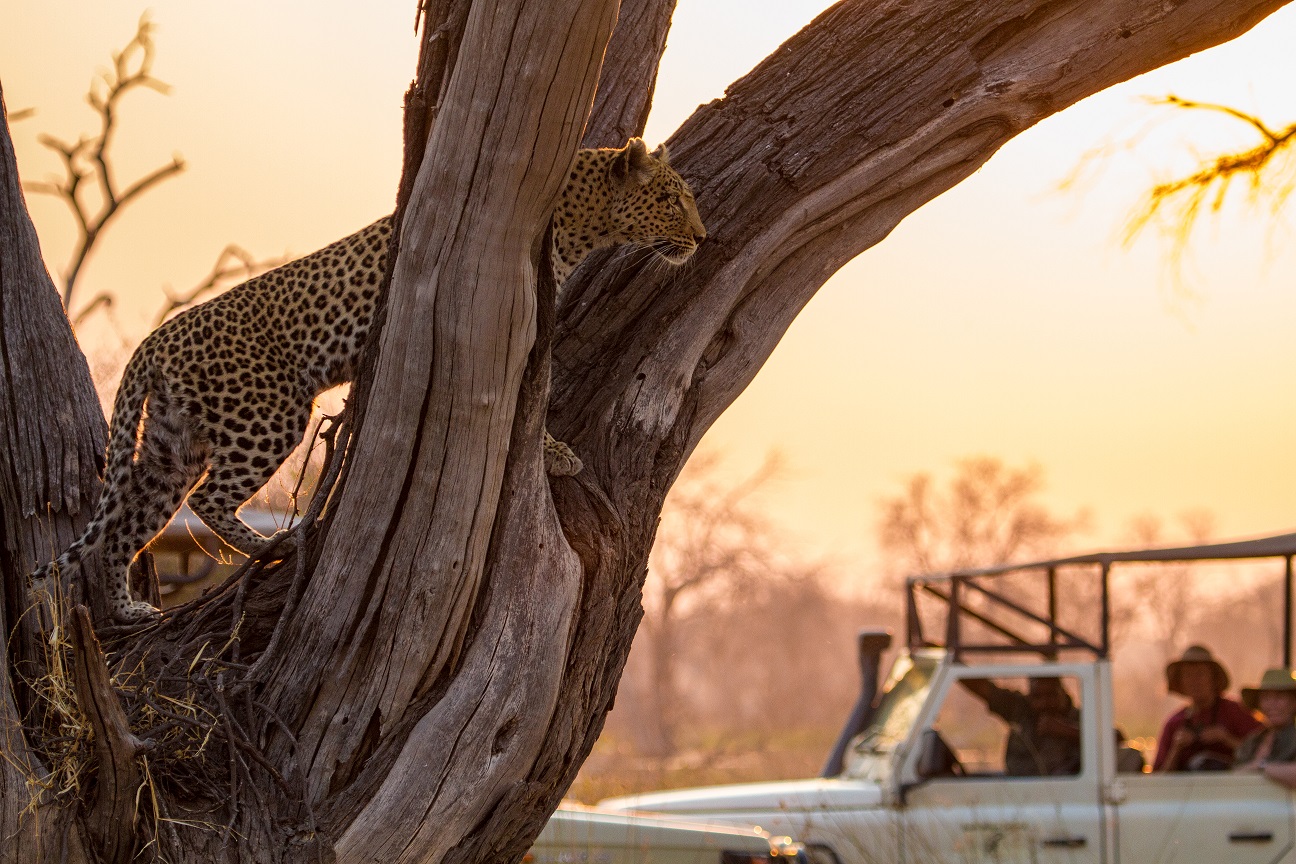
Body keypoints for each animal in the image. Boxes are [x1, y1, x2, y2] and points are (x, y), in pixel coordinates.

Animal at [32, 138, 699, 621]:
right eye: (671, 199)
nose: (702, 236)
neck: (582, 218)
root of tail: (154, 339)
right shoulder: (503, 328)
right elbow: (522, 404)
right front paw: (558, 452)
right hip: (267, 416)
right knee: (207, 497)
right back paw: (275, 546)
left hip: (172, 443)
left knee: (127, 524)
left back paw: (128, 608)